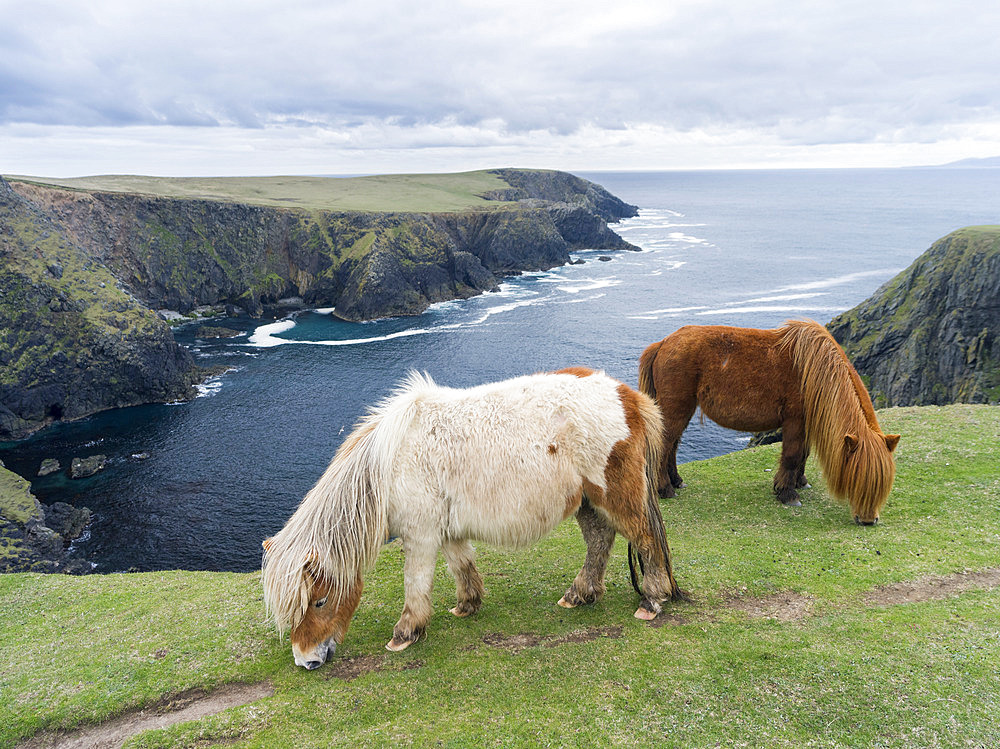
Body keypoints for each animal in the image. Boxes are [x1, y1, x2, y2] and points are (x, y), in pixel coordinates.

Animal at [636, 318, 904, 524]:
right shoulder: (795, 421)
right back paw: (665, 489)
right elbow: (792, 455)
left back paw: (676, 481)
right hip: (677, 408)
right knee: (665, 444)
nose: (868, 520)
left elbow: (803, 454)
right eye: (859, 477)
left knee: (672, 446)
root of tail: (663, 344)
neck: (814, 367)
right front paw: (787, 493)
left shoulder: (804, 424)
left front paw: (799, 482)